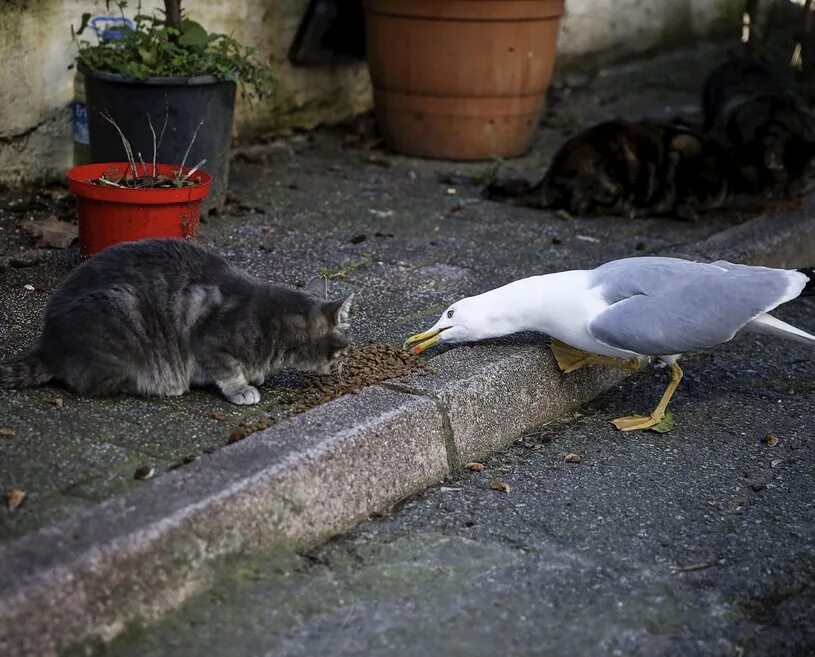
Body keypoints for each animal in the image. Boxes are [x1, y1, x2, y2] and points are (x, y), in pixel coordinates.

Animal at [0, 240, 354, 404]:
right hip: (123, 318)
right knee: (93, 384)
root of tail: (48, 345)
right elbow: (228, 370)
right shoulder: (210, 344)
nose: (344, 365)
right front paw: (242, 388)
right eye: (344, 350)